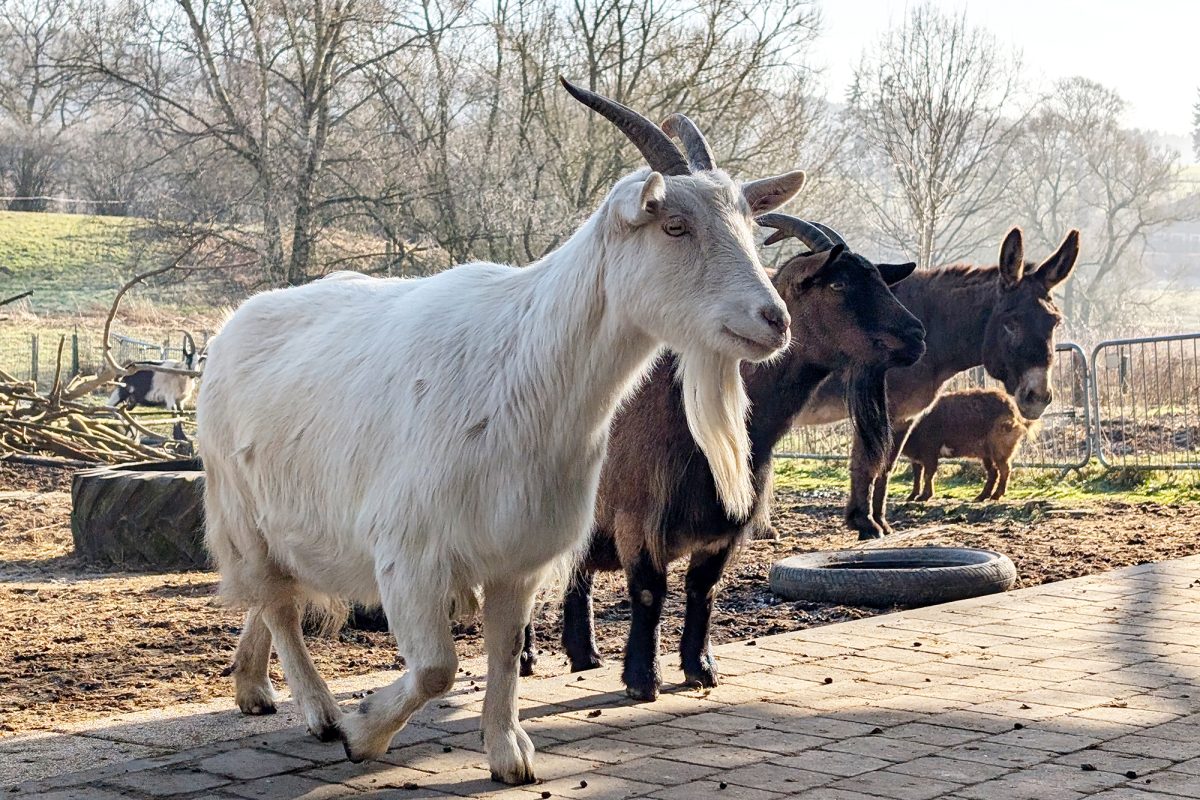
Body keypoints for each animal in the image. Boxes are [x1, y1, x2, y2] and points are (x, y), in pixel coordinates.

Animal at [194, 79, 806, 782]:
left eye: (751, 230)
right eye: (675, 226)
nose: (774, 320)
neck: (525, 366)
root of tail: (232, 324)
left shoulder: (521, 552)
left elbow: (506, 652)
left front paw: (510, 756)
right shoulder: (409, 550)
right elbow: (437, 668)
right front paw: (364, 731)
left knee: (272, 597)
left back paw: (251, 686)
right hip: (242, 506)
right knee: (279, 604)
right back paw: (321, 712)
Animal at [520, 215, 921, 695]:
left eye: (879, 278)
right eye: (838, 283)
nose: (916, 336)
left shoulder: (723, 525)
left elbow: (703, 590)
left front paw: (701, 669)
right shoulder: (638, 517)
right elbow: (650, 593)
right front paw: (642, 680)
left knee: (576, 577)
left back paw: (586, 656)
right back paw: (525, 657)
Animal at [902, 386, 1036, 501]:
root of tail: (1017, 415)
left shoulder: (930, 450)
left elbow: (928, 474)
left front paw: (922, 498)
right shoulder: (916, 456)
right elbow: (917, 475)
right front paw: (910, 497)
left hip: (1000, 447)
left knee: (1005, 469)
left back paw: (995, 496)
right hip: (986, 453)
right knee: (993, 471)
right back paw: (980, 497)